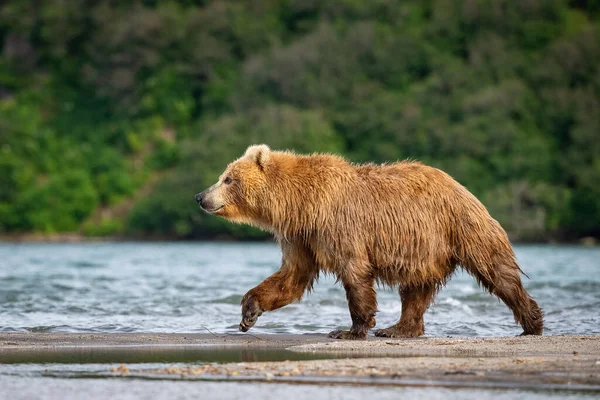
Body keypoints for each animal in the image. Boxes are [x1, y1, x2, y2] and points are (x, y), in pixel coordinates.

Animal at [195, 144, 540, 338]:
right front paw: (249, 312)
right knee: (415, 290)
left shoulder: (338, 225)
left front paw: (350, 330)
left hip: (460, 227)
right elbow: (292, 277)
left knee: (497, 270)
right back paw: (400, 329)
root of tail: (462, 186)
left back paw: (532, 322)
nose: (200, 196)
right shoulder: (302, 237)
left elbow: (354, 273)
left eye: (227, 178)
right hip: (422, 248)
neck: (301, 204)